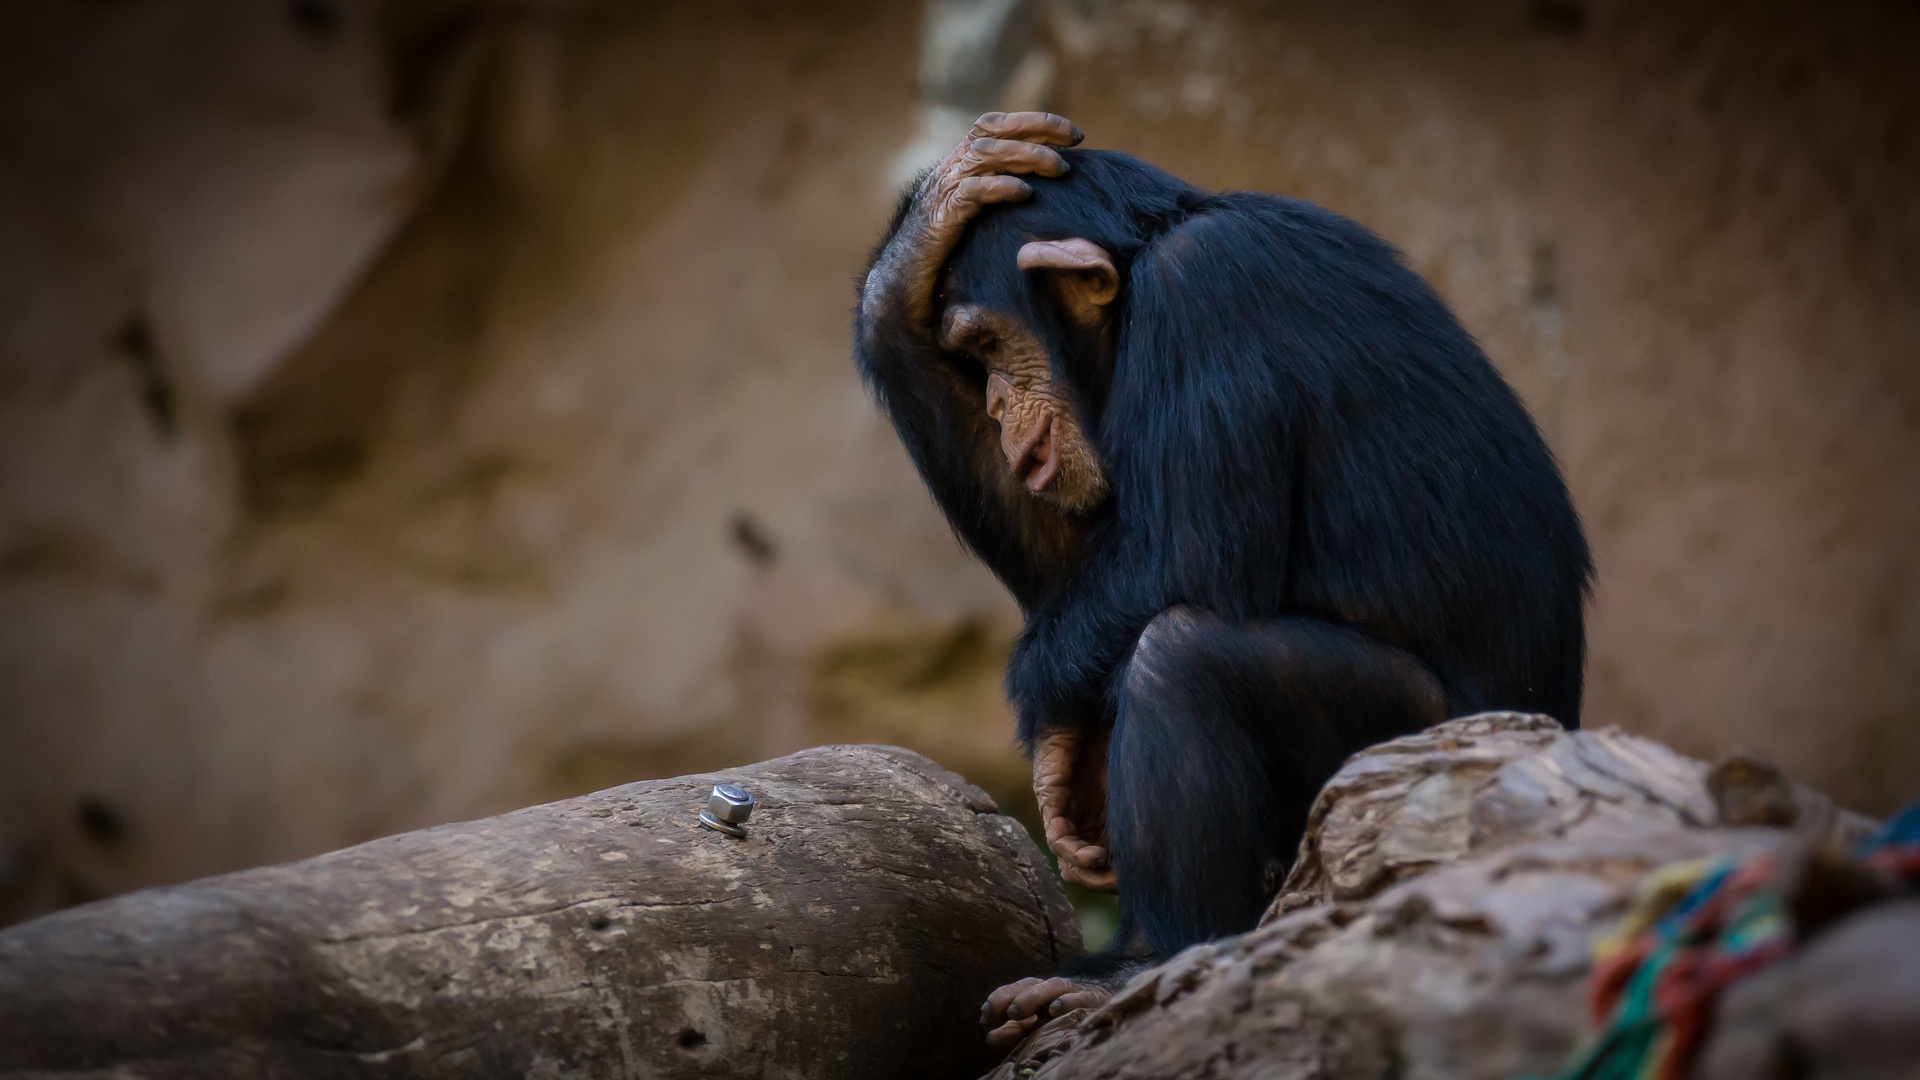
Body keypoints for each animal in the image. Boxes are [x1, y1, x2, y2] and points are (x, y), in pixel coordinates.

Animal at [856, 113, 1589, 1045]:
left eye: (987, 344)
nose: (992, 403)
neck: (1144, 264)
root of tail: (1555, 727)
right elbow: (1068, 554)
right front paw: (928, 228)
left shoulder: (1203, 292)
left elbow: (1185, 554)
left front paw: (1050, 735)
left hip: (1416, 743)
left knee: (1181, 656)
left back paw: (1148, 960)